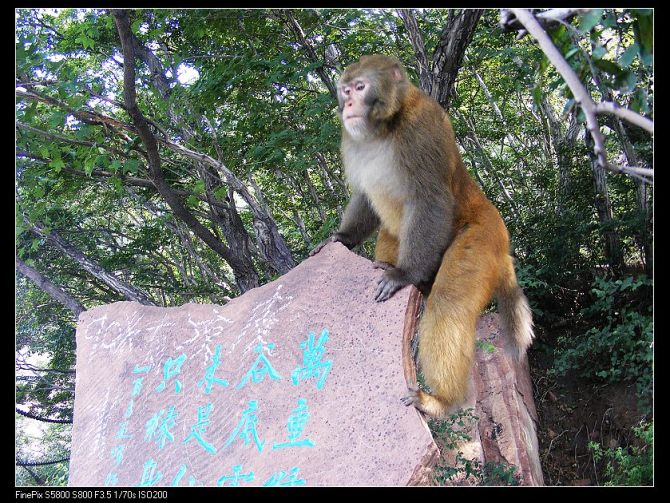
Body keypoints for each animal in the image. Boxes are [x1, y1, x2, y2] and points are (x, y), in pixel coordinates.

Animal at [312, 53, 536, 420]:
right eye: (345, 89)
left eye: (360, 87)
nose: (348, 104)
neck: (384, 129)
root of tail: (503, 249)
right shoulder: (351, 140)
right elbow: (365, 196)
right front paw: (342, 238)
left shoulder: (422, 128)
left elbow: (430, 198)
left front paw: (404, 274)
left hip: (483, 237)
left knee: (447, 304)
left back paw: (440, 400)